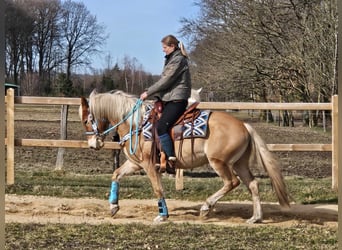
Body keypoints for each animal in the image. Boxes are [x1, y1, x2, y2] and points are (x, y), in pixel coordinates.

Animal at [81, 89, 292, 223]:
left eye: (85, 120)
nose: (93, 144)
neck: (136, 124)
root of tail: (244, 126)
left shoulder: (149, 165)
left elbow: (158, 189)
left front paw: (162, 215)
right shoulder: (136, 164)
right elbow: (116, 174)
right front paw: (113, 207)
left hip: (219, 163)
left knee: (232, 182)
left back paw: (206, 207)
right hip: (239, 164)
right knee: (253, 184)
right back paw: (255, 218)